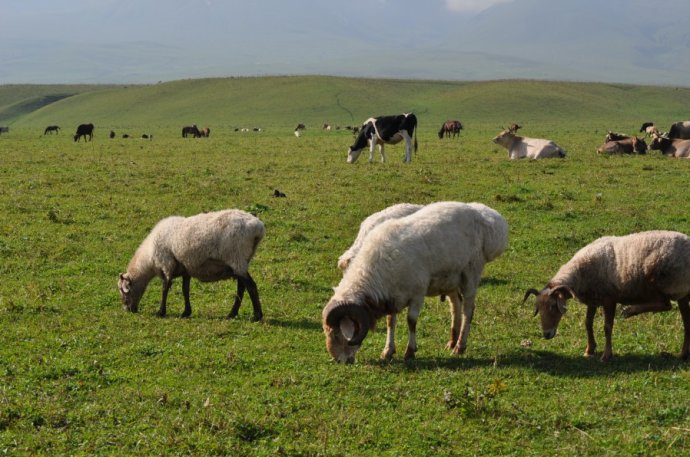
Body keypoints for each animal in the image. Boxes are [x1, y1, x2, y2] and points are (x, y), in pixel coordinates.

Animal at [118, 208, 264, 318]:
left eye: (124, 291)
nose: (127, 309)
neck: (149, 260)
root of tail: (257, 227)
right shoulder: (185, 269)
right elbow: (185, 290)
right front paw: (186, 312)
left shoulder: (167, 264)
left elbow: (165, 288)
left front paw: (161, 312)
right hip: (241, 261)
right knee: (242, 287)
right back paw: (232, 314)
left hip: (237, 257)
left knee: (251, 286)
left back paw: (256, 315)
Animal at [322, 201, 506, 362]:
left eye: (337, 334)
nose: (338, 360)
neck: (375, 272)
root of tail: (487, 216)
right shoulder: (392, 296)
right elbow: (390, 322)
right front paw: (388, 351)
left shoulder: (418, 293)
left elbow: (411, 322)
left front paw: (410, 352)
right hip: (451, 278)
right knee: (456, 305)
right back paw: (452, 342)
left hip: (471, 271)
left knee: (468, 309)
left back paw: (460, 346)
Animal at [520, 230, 688, 362]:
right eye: (538, 308)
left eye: (553, 306)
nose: (546, 334)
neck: (579, 273)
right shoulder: (593, 299)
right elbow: (588, 323)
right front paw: (589, 349)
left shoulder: (609, 299)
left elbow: (607, 327)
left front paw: (606, 355)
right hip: (683, 292)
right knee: (686, 320)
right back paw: (683, 354)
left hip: (664, 282)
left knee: (666, 304)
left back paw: (630, 310)